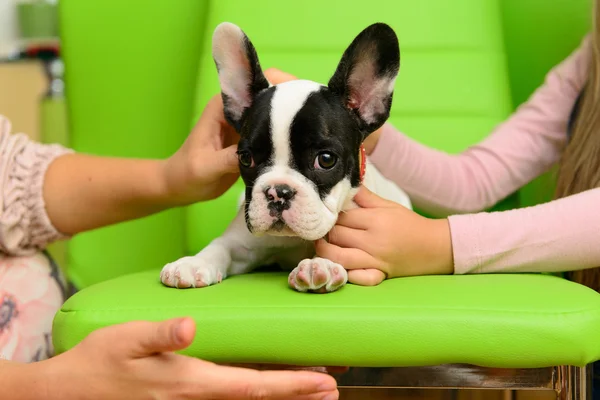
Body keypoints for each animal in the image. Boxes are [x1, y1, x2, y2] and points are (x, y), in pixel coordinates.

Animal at [161, 21, 412, 292]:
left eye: (326, 159)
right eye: (245, 158)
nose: (278, 192)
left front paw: (320, 264)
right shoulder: (241, 241)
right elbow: (221, 246)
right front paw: (193, 262)